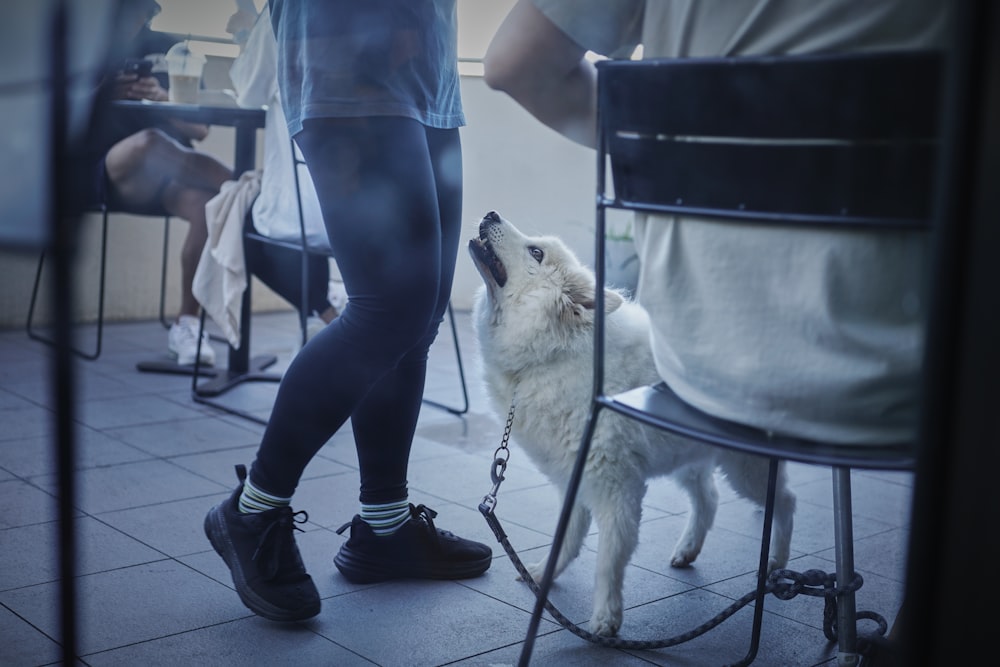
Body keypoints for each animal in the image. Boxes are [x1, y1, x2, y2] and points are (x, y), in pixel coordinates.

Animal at [468, 213, 796, 636]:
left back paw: (776, 563)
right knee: (709, 498)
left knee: (785, 501)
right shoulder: (573, 478)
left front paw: (605, 621)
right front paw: (542, 575)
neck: (551, 354)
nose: (490, 214)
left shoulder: (616, 489)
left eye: (536, 252)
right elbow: (566, 538)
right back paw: (688, 550)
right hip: (687, 455)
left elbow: (608, 560)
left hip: (745, 470)